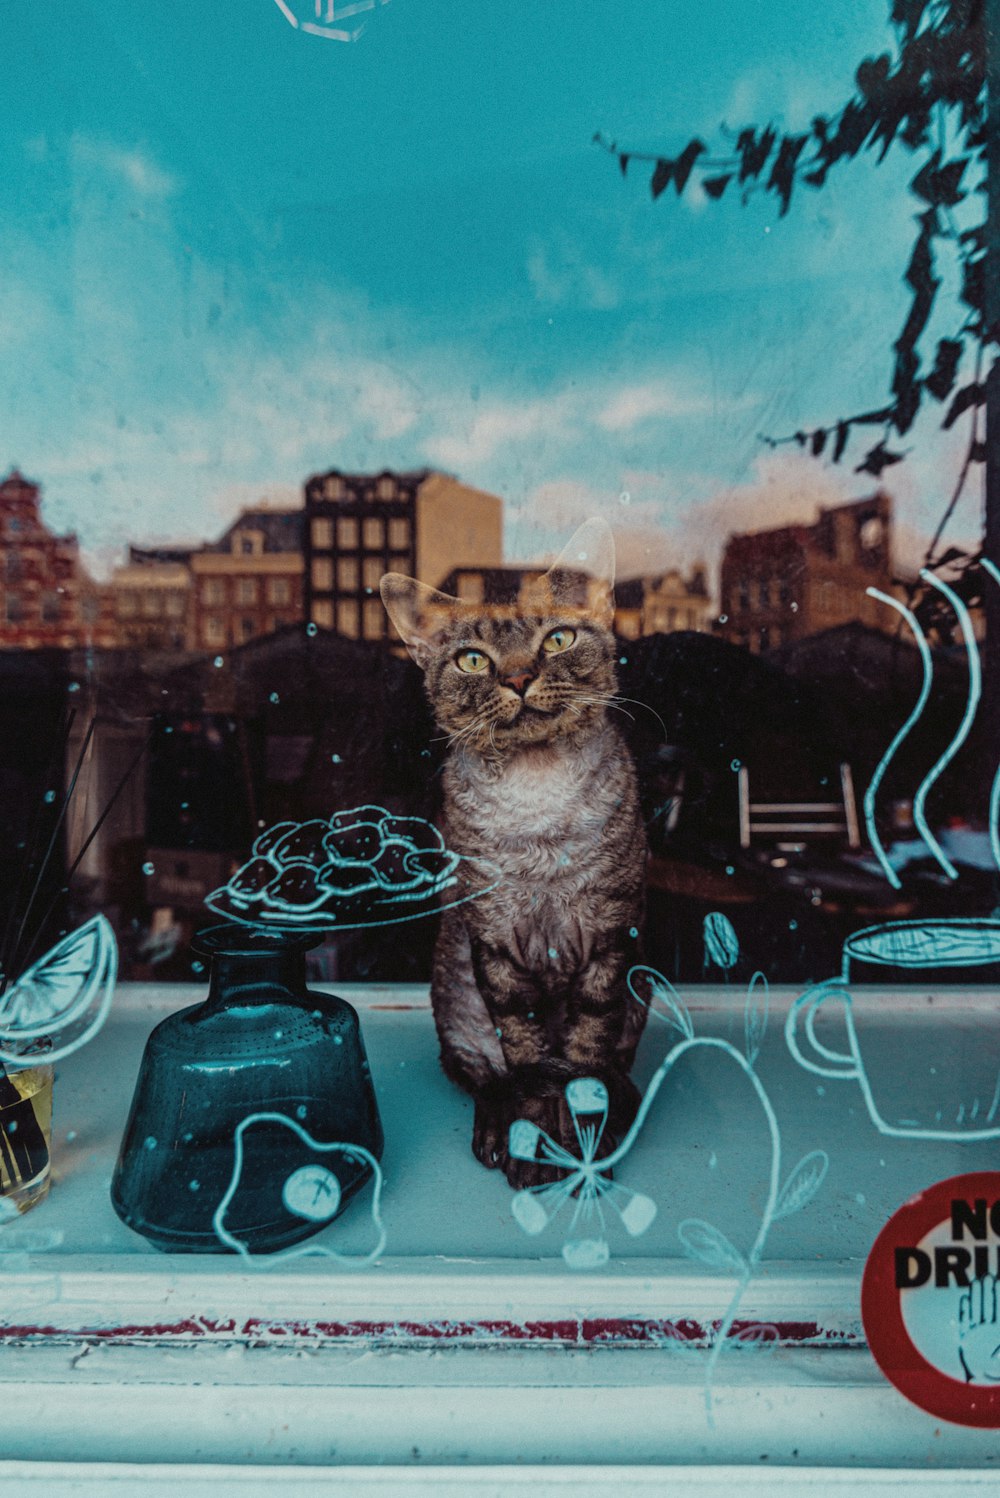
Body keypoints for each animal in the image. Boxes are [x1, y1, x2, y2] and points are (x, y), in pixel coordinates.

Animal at [380, 521, 649, 1186]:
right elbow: (526, 1056)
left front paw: (583, 1141)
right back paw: (496, 1134)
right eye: (473, 659)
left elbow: (584, 1057)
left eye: (558, 638)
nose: (521, 678)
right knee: (485, 1074)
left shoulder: (609, 937)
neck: (537, 802)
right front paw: (529, 1139)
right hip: (455, 992)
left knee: (619, 1068)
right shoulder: (496, 945)